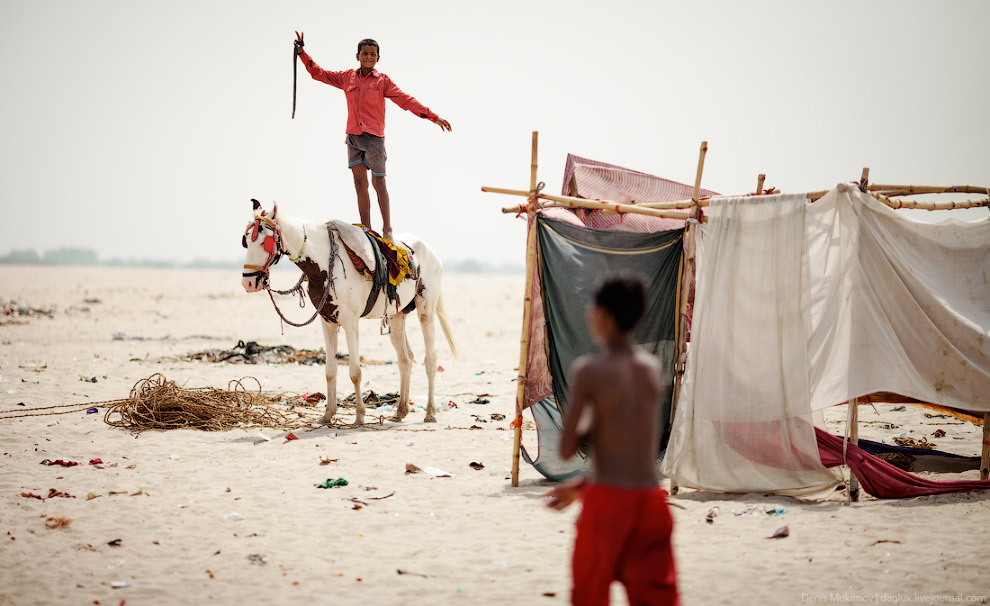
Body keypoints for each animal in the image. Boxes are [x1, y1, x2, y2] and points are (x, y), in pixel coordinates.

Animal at [240, 202, 458, 426]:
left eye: (264, 241)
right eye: (246, 241)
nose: (248, 282)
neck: (324, 263)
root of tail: (431, 252)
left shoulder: (350, 321)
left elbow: (355, 372)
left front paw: (360, 416)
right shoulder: (327, 321)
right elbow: (330, 370)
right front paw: (328, 415)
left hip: (426, 309)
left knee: (430, 359)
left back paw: (430, 412)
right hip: (397, 315)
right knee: (405, 359)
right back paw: (401, 410)